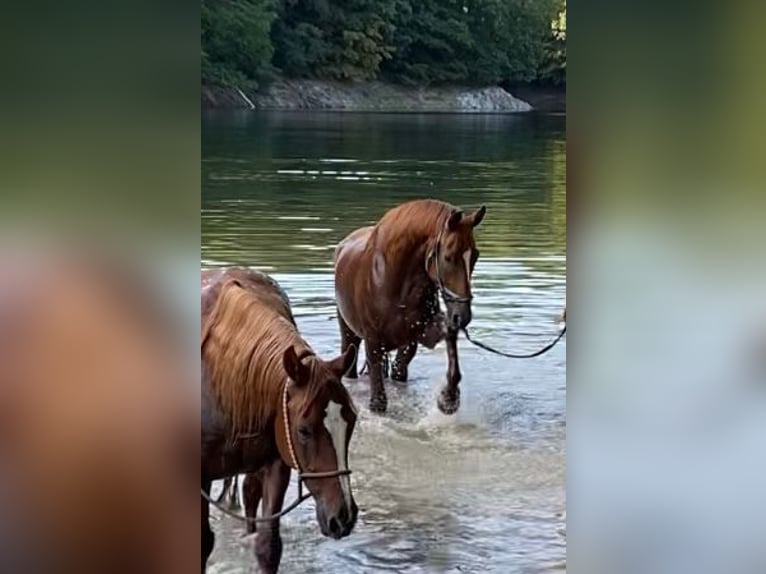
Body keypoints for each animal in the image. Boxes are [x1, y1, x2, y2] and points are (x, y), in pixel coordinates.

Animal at [334, 200, 486, 416]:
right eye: (448, 257)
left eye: (475, 256)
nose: (462, 316)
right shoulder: (373, 341)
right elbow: (378, 401)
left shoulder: (423, 331)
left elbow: (449, 333)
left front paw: (448, 398)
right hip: (349, 334)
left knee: (399, 370)